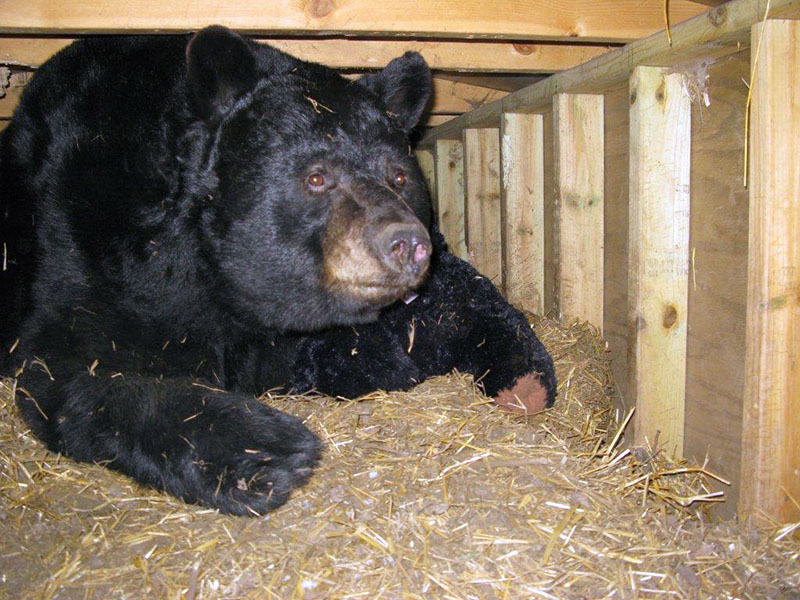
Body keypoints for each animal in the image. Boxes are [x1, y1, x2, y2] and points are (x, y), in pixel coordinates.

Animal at [0, 26, 556, 516]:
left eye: (400, 175)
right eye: (316, 177)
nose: (407, 244)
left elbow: (441, 310)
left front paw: (521, 376)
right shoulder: (87, 245)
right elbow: (72, 363)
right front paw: (266, 447)